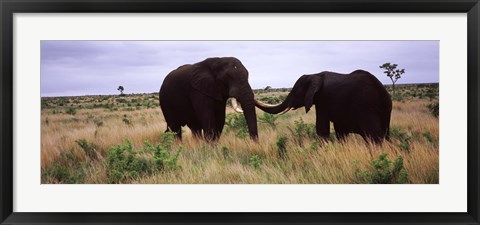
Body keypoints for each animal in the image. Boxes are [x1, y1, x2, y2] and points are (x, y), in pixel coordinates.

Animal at [256, 69, 392, 143]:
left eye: (295, 92)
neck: (315, 74)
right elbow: (339, 130)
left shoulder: (323, 99)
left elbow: (321, 128)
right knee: (385, 134)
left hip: (367, 108)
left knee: (374, 136)